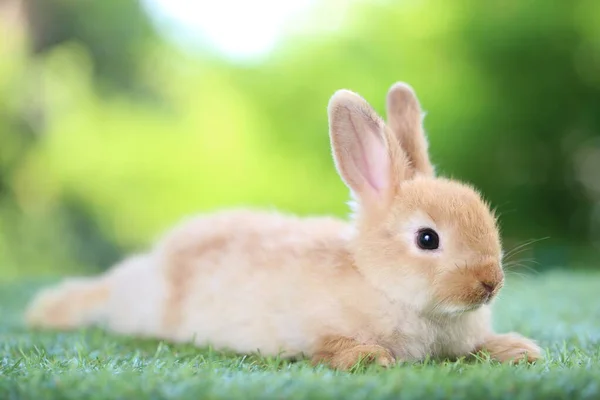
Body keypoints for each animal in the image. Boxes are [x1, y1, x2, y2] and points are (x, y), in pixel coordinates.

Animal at [23, 83, 540, 370]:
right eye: (427, 239)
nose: (490, 283)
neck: (382, 284)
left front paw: (520, 351)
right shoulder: (315, 328)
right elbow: (329, 347)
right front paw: (371, 359)